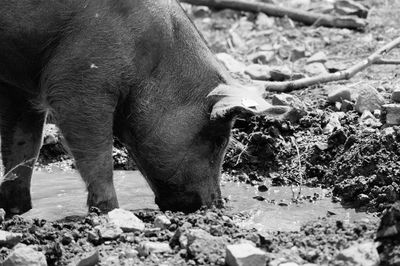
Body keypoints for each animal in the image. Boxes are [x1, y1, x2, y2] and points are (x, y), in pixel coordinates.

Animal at [0, 0, 292, 214]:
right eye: (219, 140)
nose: (217, 203)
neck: (153, 61)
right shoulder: (79, 80)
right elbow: (97, 154)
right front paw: (110, 211)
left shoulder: (19, 88)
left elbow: (24, 147)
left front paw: (19, 210)